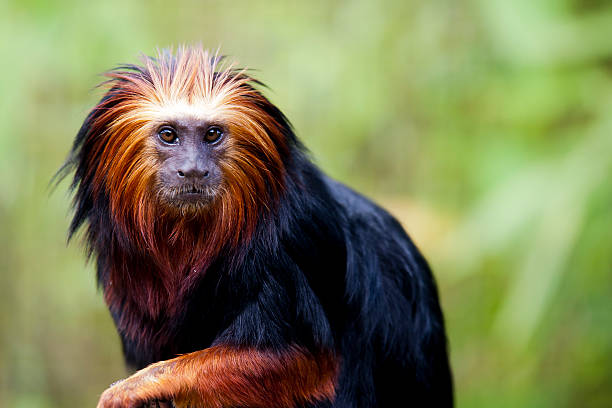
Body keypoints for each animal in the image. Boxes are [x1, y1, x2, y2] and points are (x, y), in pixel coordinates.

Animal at [59, 46, 452, 406]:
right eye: (169, 135)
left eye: (212, 135)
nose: (193, 170)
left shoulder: (288, 250)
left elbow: (309, 361)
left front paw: (137, 388)